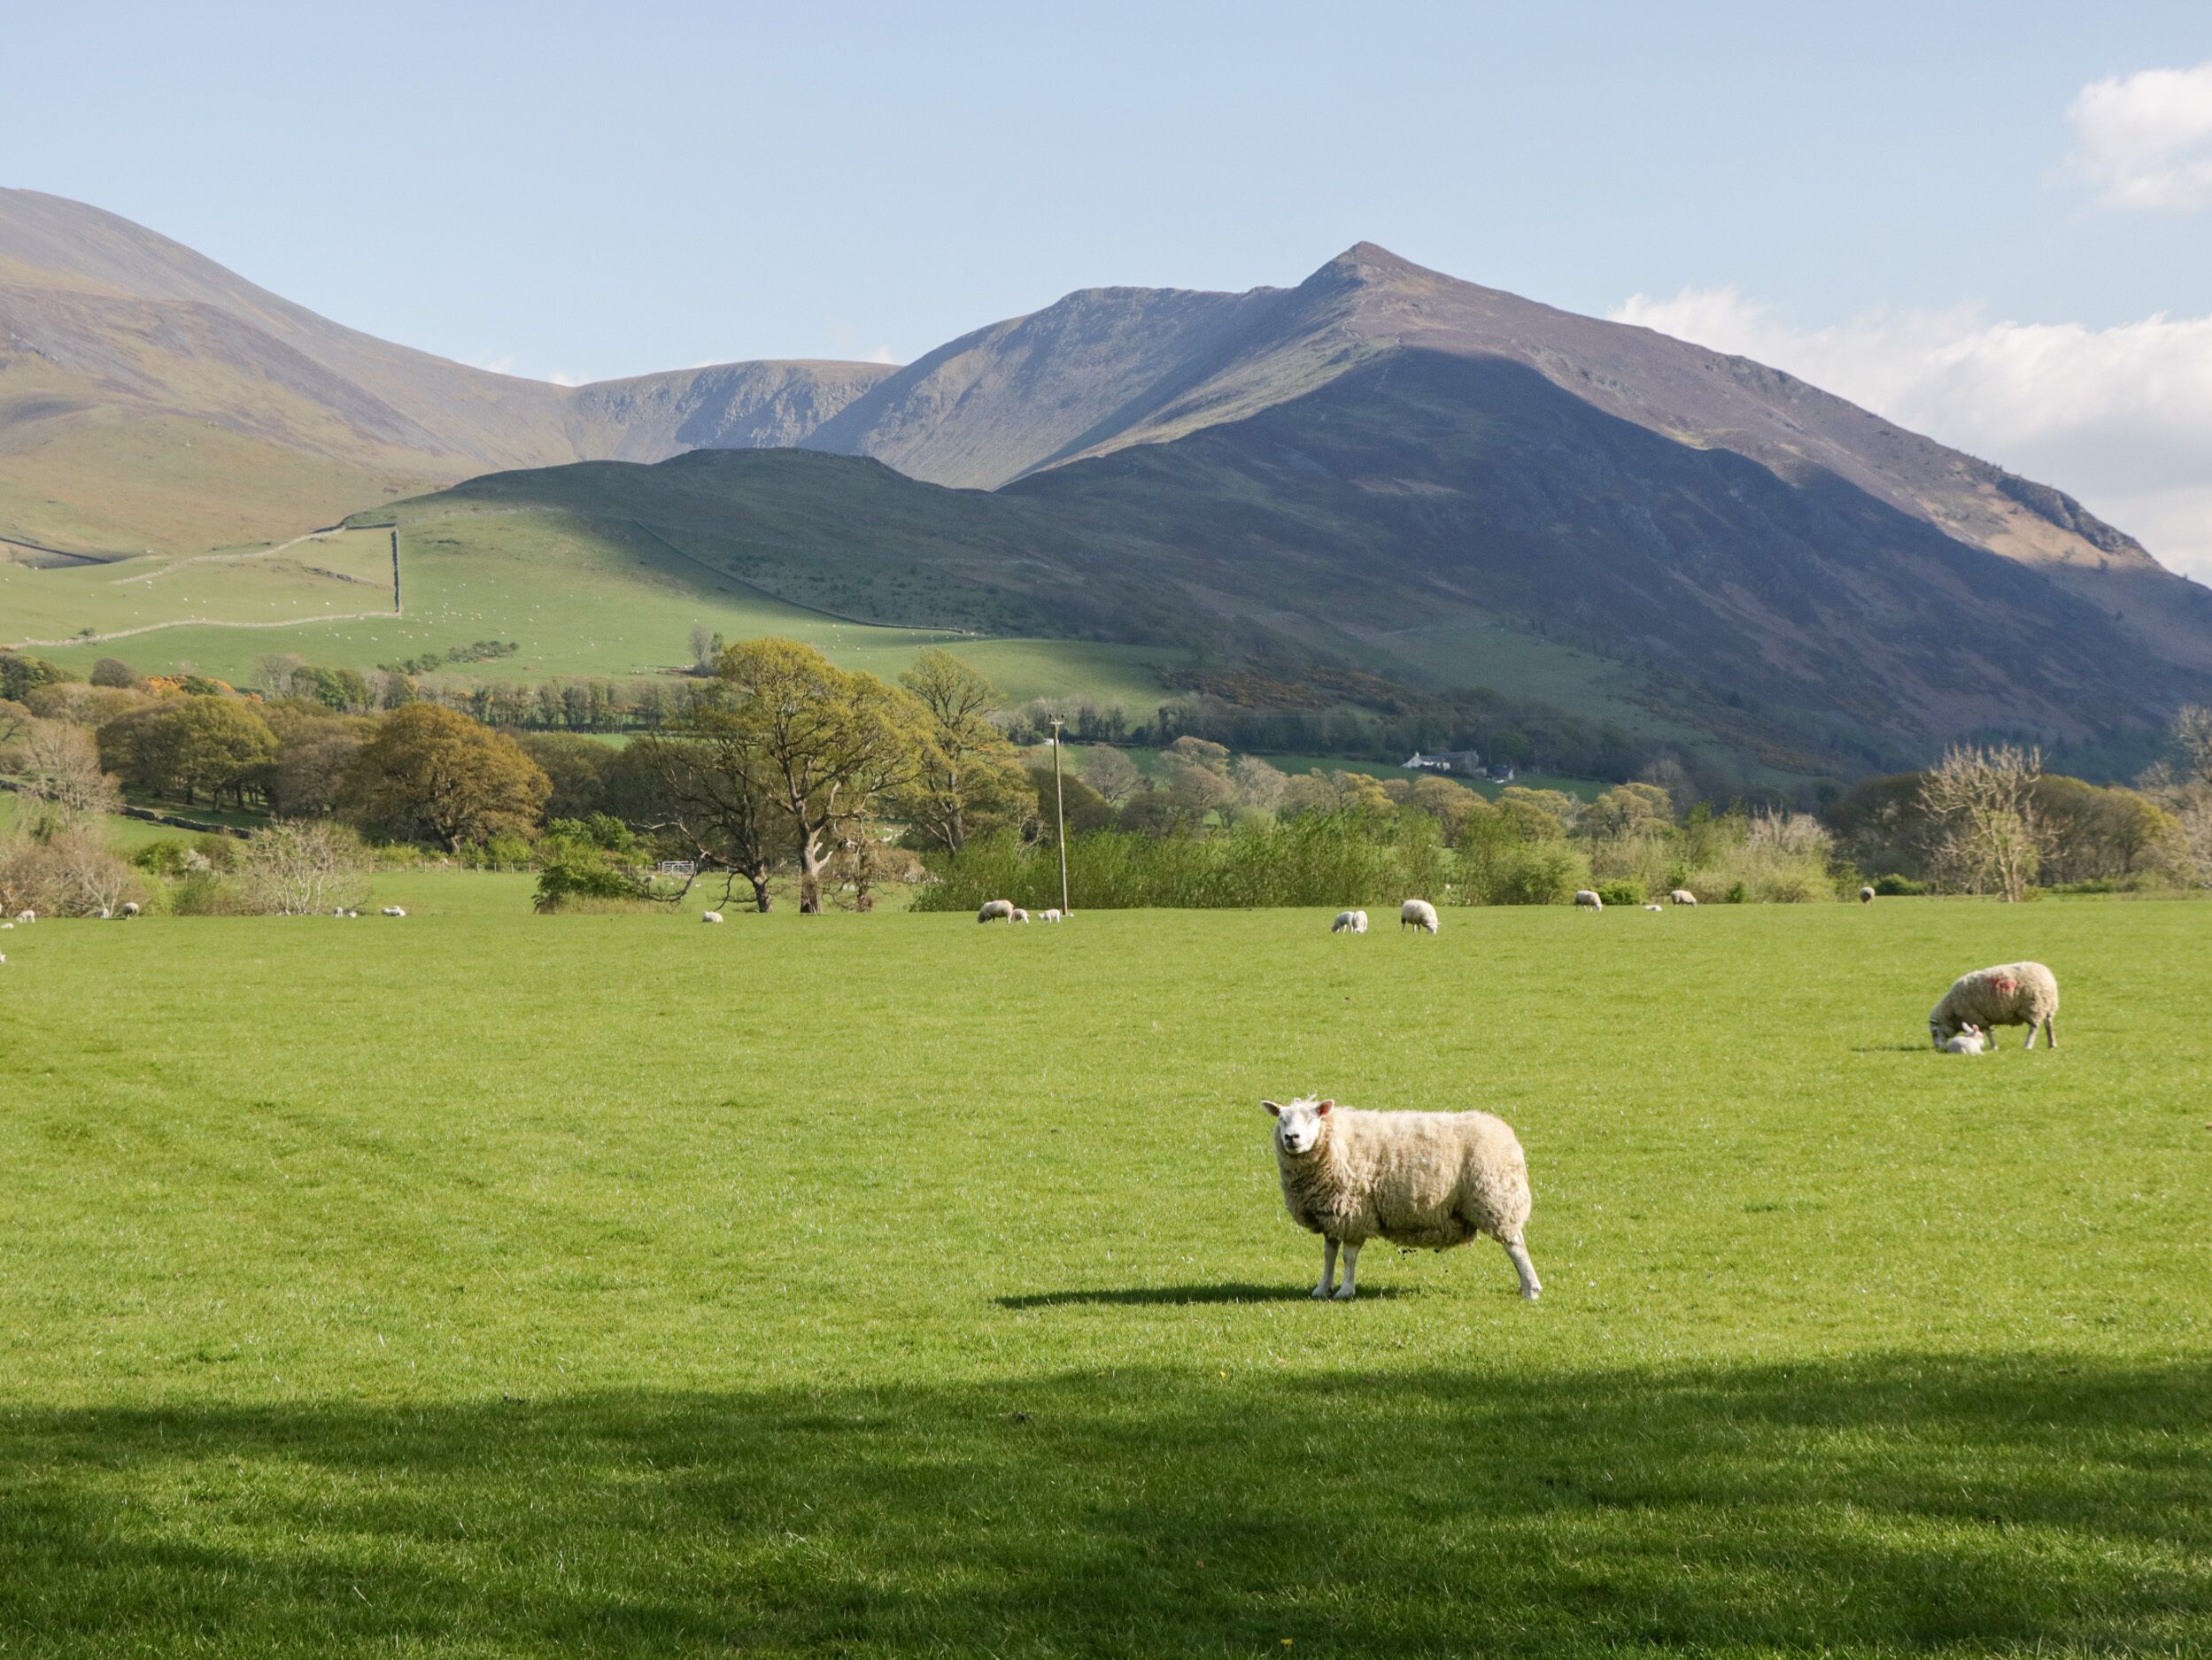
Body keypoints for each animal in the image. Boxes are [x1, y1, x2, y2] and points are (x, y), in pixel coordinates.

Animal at [1265, 1096, 1540, 1301]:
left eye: (1312, 1118)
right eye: (1282, 1119)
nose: (1292, 1137)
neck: (1336, 1140)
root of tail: (1507, 1136)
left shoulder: (1354, 1212)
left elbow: (1348, 1256)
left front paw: (1345, 1290)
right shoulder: (1332, 1214)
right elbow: (1329, 1253)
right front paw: (1322, 1289)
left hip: (1496, 1198)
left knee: (1515, 1245)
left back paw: (1531, 1289)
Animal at [1929, 961, 2059, 1051]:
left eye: (1934, 1031)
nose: (1937, 1048)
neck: (1952, 1011)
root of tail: (2048, 978)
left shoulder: (1977, 1016)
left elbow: (1988, 1032)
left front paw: (1993, 1047)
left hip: (2033, 1006)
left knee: (2034, 1028)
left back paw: (2028, 1045)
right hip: (2048, 1007)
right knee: (2049, 1025)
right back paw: (2052, 1044)